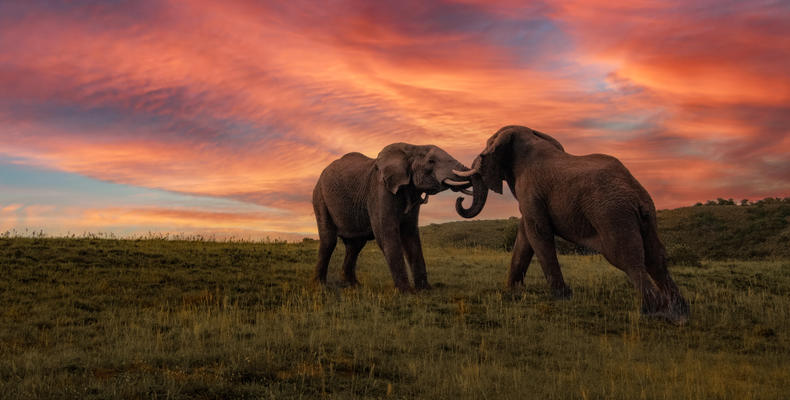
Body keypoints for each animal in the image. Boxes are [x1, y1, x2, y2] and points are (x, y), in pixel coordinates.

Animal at [314, 142, 488, 292]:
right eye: (431, 161)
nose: (460, 200)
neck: (412, 147)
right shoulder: (379, 190)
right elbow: (387, 234)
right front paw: (406, 292)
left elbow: (410, 234)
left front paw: (425, 290)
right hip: (320, 196)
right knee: (329, 240)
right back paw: (320, 286)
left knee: (355, 245)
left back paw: (354, 285)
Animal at [454, 126, 688, 324]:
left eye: (486, 148)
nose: (460, 199)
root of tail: (636, 194)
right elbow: (525, 236)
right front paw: (512, 291)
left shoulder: (530, 190)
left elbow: (538, 233)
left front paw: (562, 297)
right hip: (647, 216)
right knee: (656, 258)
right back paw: (679, 313)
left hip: (613, 215)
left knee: (627, 258)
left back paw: (653, 313)